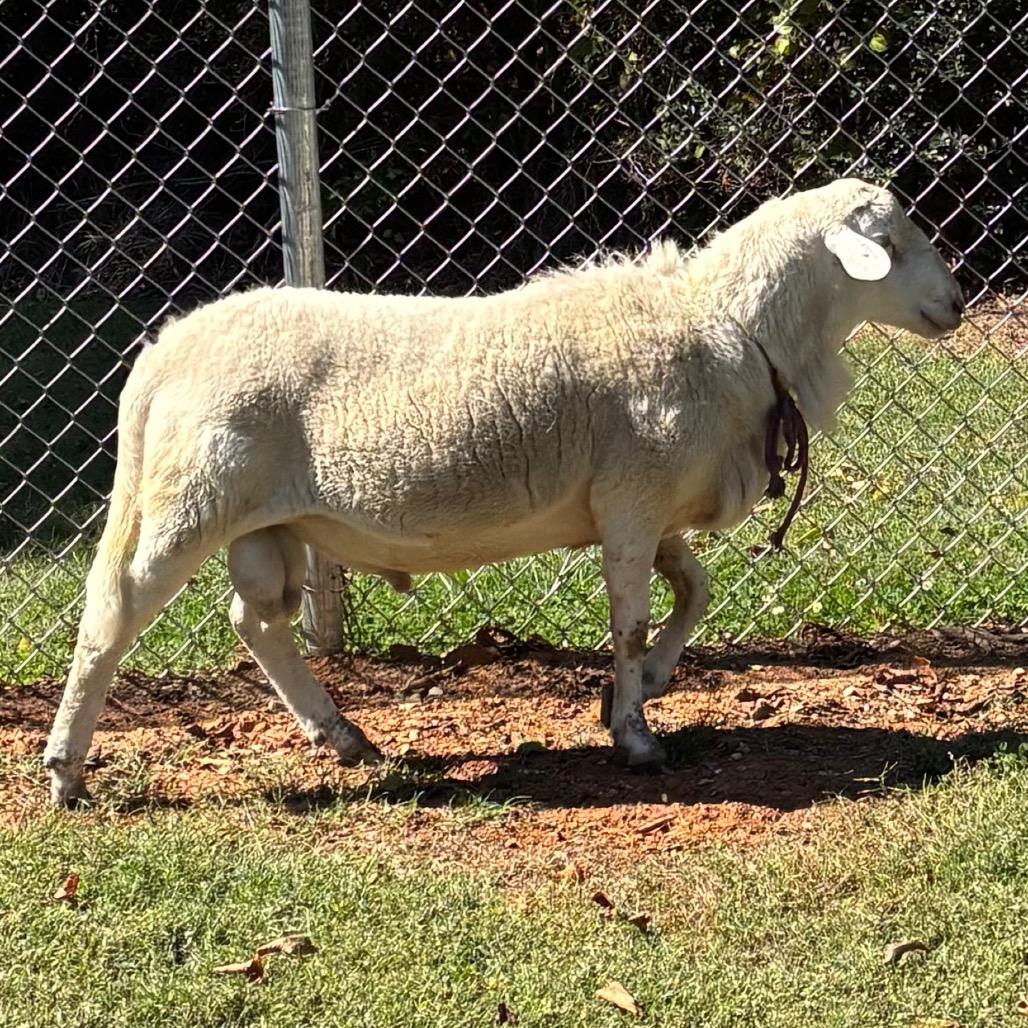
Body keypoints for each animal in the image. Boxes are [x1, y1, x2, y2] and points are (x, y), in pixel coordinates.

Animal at [43, 177, 964, 807]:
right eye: (897, 239)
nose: (956, 303)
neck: (730, 325)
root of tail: (161, 353)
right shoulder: (632, 496)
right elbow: (631, 622)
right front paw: (635, 735)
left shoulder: (641, 506)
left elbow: (694, 593)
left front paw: (645, 686)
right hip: (190, 499)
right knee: (112, 616)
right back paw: (65, 771)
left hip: (267, 522)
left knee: (257, 623)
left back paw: (340, 735)